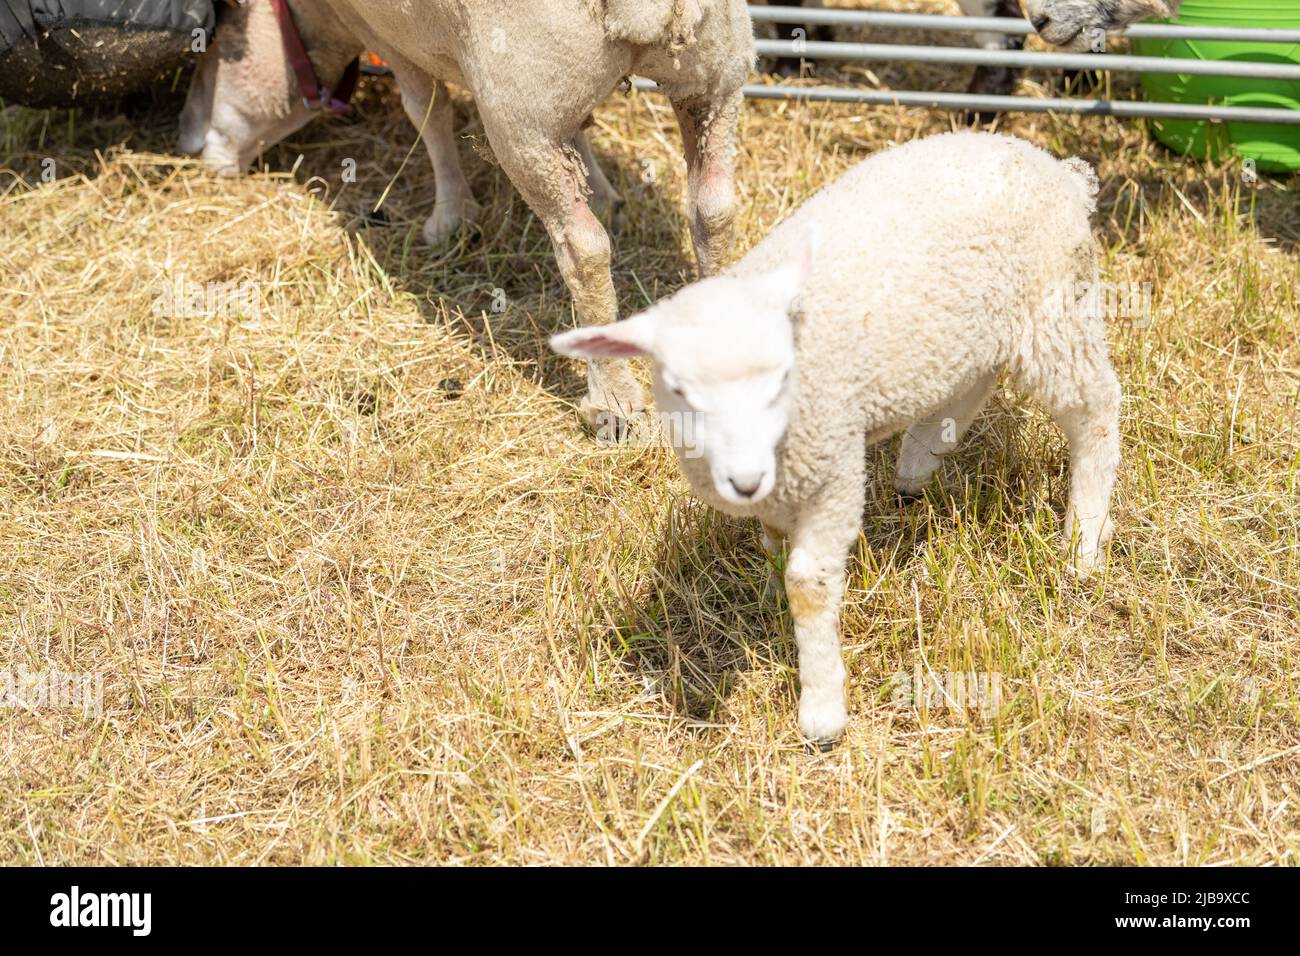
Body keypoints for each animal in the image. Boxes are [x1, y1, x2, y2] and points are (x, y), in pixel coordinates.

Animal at [178, 0, 759, 434]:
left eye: (220, 43)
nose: (187, 139)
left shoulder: (390, 37)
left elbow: (426, 111)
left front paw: (450, 217)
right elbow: (582, 129)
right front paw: (603, 194)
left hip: (522, 110)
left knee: (583, 250)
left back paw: (612, 403)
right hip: (718, 73)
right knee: (714, 211)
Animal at [548, 132, 1118, 749]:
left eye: (781, 377)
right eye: (677, 387)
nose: (745, 479)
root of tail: (1058, 170)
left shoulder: (834, 474)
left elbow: (810, 582)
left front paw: (821, 708)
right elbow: (773, 545)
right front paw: (769, 597)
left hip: (1056, 311)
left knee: (1097, 410)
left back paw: (1082, 545)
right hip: (977, 327)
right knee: (976, 380)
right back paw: (918, 462)